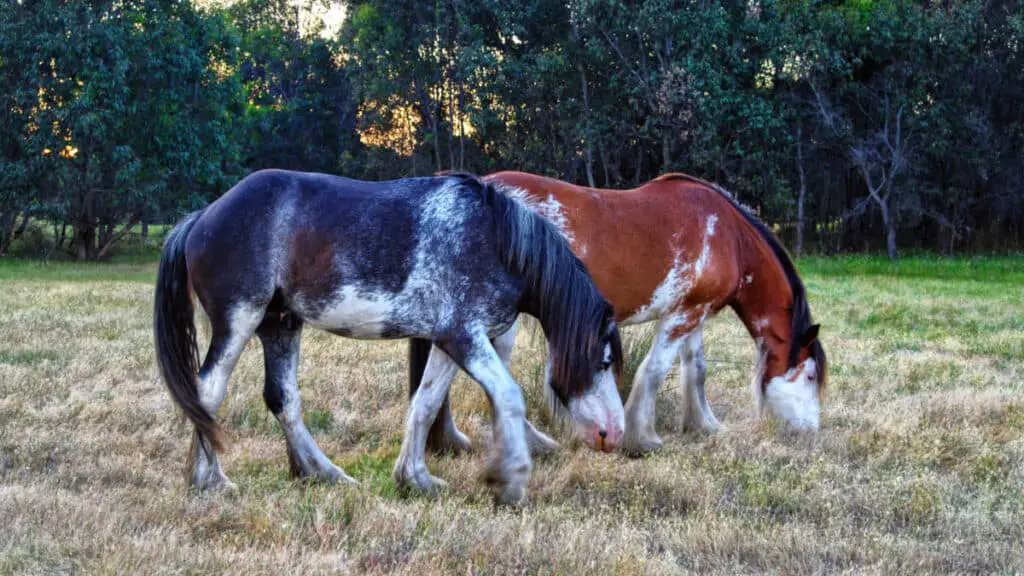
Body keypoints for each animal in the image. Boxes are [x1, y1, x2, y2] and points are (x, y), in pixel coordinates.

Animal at [151, 168, 622, 500]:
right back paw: (209, 481)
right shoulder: (464, 337)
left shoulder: (450, 342)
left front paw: (415, 479)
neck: (493, 240)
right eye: (602, 361)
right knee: (207, 393)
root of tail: (202, 217)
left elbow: (425, 404)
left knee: (282, 399)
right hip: (239, 320)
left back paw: (323, 473)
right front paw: (509, 479)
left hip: (280, 324)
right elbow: (508, 396)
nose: (613, 436)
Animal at [411, 168, 827, 455]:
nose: (811, 429)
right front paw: (642, 438)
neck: (728, 236)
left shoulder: (694, 312)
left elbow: (697, 370)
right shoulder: (679, 317)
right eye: (809, 376)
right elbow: (654, 371)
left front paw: (704, 424)